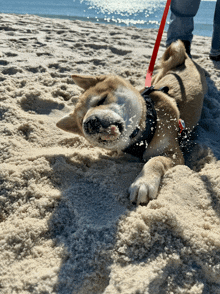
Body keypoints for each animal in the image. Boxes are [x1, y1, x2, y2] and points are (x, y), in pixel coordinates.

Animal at [55, 40, 207, 206]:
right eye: (81, 122)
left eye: (101, 100)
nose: (89, 123)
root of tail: (186, 59)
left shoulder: (175, 154)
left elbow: (155, 160)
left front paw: (144, 183)